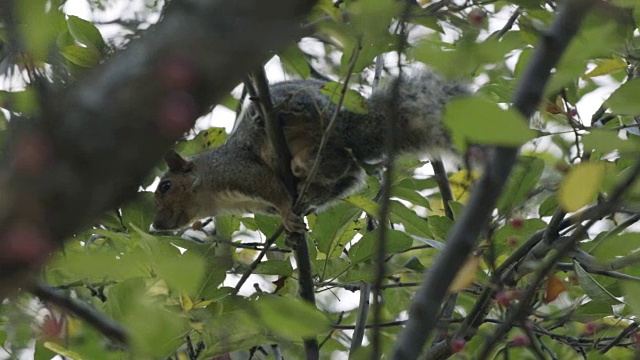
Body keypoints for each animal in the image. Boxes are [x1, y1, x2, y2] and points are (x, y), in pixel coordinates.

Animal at [151, 69, 470, 233]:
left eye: (166, 186)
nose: (157, 225)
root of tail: (355, 125)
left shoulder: (238, 170)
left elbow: (274, 190)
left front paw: (288, 215)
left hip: (305, 102)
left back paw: (276, 121)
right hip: (344, 174)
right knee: (337, 165)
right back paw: (304, 166)